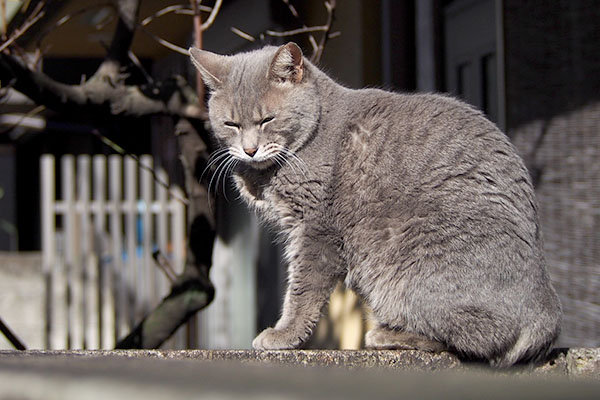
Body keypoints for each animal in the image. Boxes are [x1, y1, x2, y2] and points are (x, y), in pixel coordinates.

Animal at [191, 43, 564, 366]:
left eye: (267, 119)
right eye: (231, 124)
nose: (249, 150)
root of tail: (545, 312)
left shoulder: (315, 231)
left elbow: (303, 289)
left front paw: (283, 335)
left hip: (409, 261)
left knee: (479, 338)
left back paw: (387, 335)